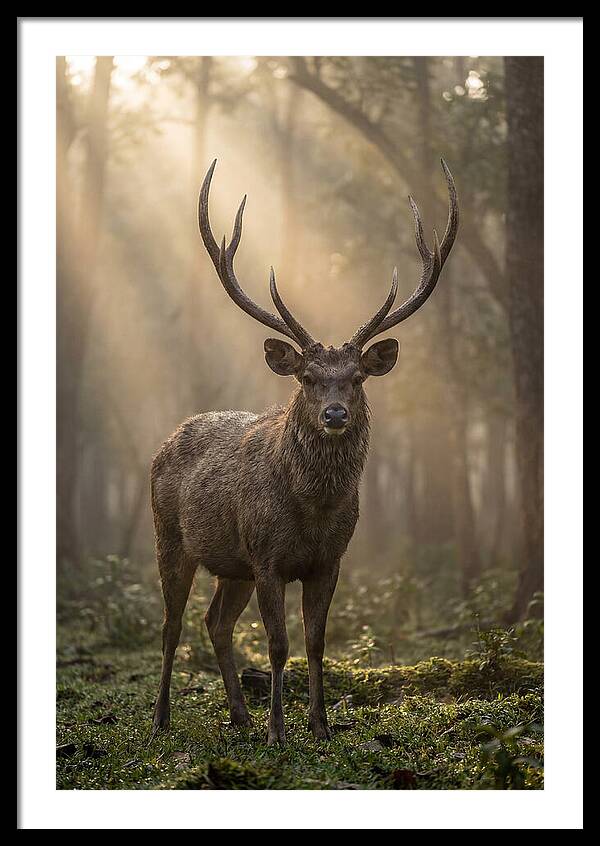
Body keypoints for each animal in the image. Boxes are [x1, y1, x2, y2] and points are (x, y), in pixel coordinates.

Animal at [151, 158, 458, 744]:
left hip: (232, 564)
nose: (335, 415)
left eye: (357, 378)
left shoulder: (329, 560)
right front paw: (278, 732)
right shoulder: (267, 556)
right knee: (172, 624)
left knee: (215, 622)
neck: (311, 513)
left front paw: (318, 725)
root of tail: (165, 440)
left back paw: (239, 715)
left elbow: (316, 642)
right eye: (309, 378)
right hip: (171, 538)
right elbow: (278, 645)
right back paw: (161, 719)